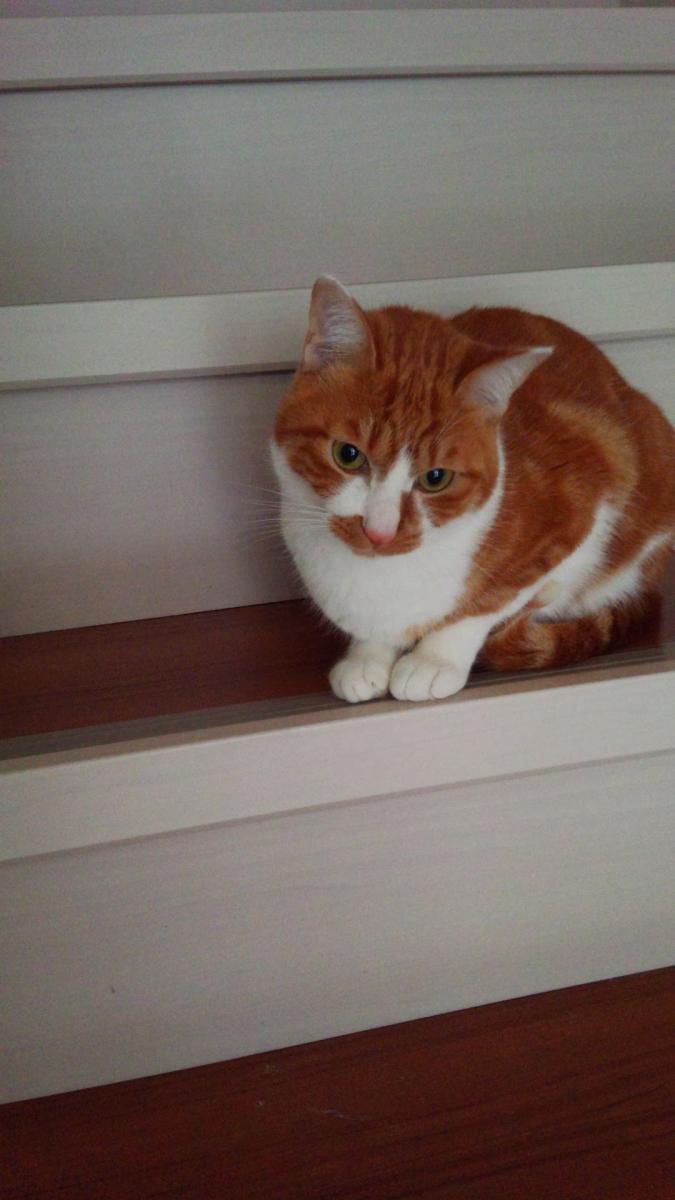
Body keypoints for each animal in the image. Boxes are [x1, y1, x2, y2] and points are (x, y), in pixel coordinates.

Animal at [271, 276, 674, 703]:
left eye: (435, 478)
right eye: (347, 455)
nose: (379, 532)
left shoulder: (578, 516)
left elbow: (488, 605)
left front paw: (434, 660)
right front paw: (367, 656)